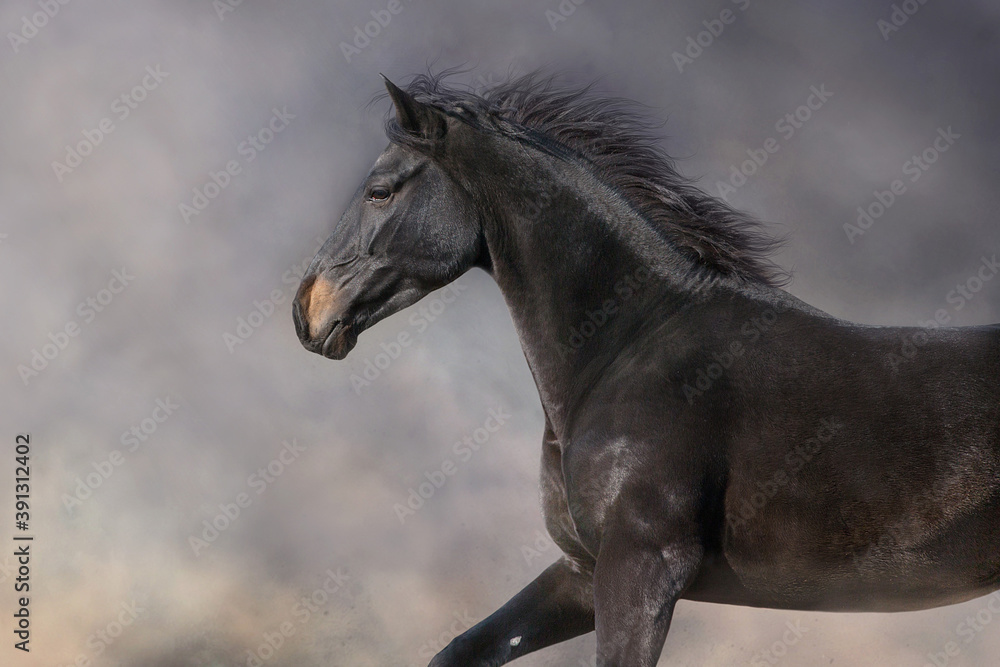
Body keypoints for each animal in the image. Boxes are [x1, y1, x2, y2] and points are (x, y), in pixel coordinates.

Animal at [292, 72, 1000, 666]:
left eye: (380, 191)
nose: (307, 309)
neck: (631, 351)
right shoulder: (584, 571)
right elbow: (462, 649)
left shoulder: (642, 566)